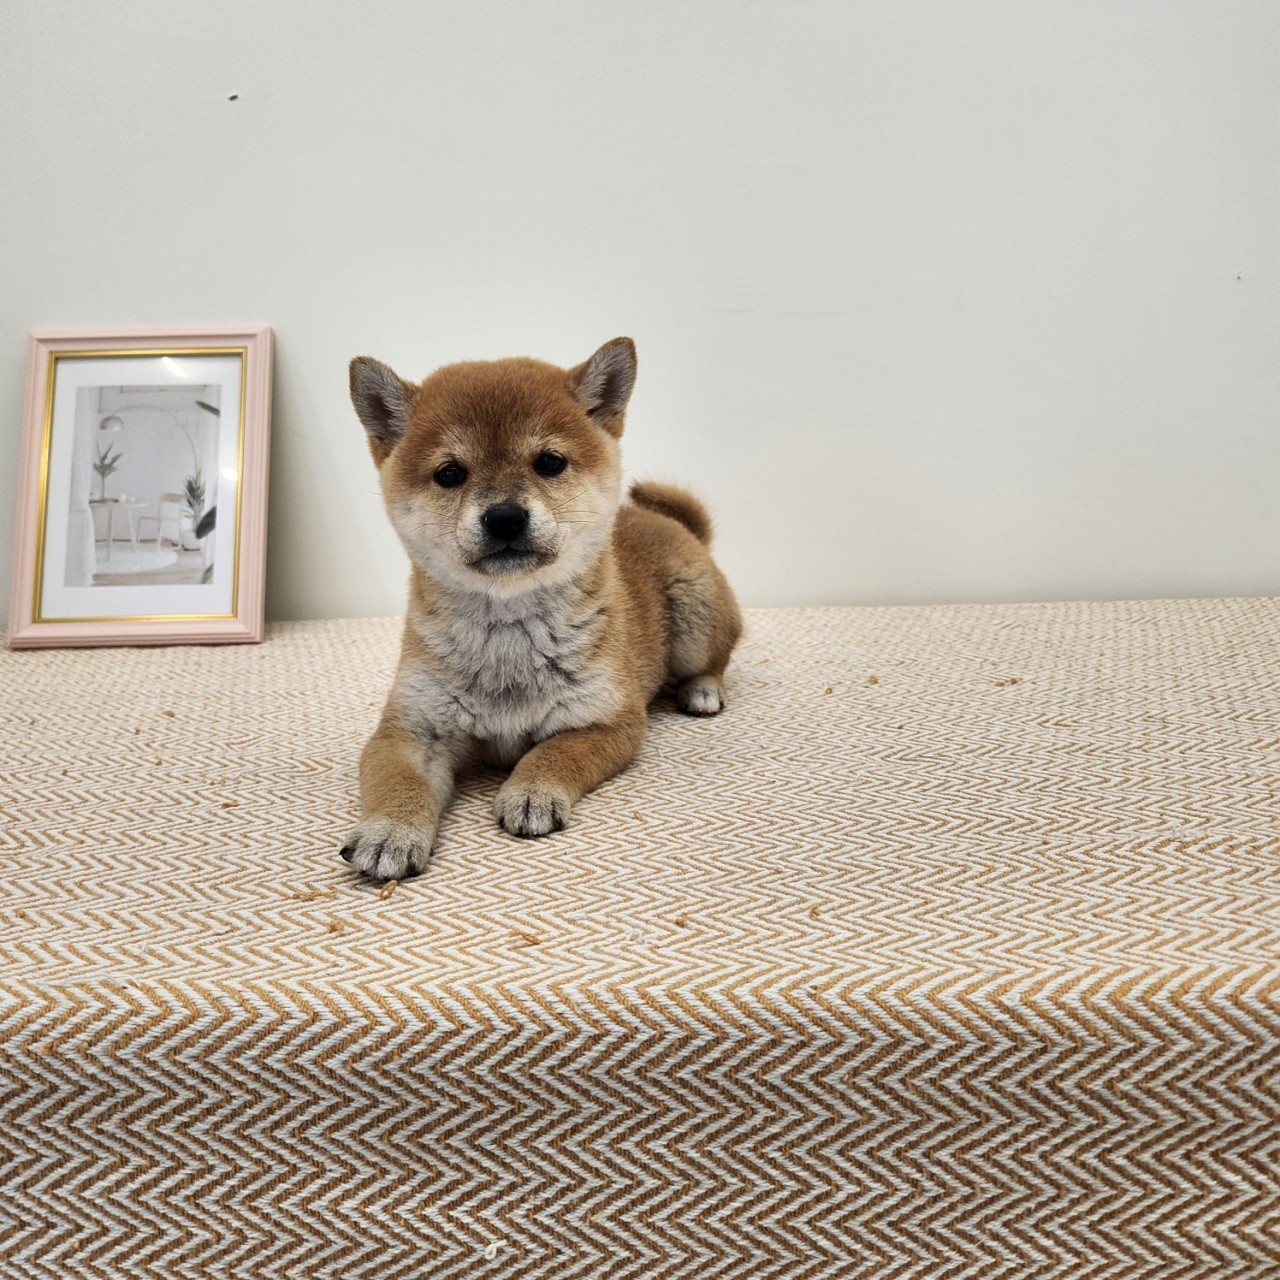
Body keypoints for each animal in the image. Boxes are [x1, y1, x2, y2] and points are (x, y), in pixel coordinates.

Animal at [340, 337, 742, 880]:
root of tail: (674, 526)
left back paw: (701, 690)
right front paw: (391, 830)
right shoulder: (410, 731)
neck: (509, 632)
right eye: (450, 473)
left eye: (549, 462)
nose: (505, 517)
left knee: (714, 660)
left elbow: (551, 754)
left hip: (694, 615)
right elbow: (396, 782)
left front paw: (531, 792)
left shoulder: (607, 720)